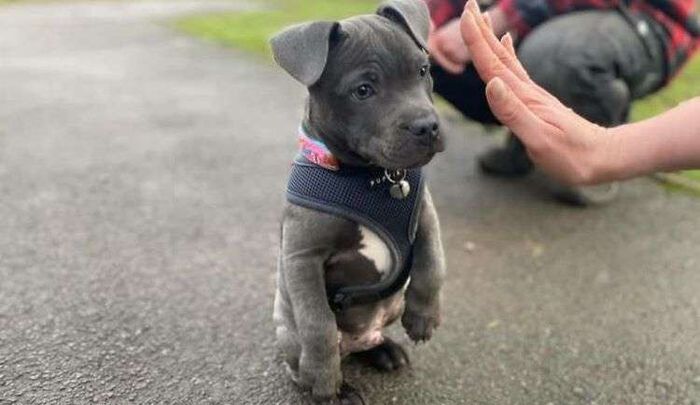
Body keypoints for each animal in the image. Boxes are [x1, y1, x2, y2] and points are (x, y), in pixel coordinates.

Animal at [270, 1, 446, 403]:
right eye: (363, 90)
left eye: (423, 70)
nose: (427, 126)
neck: (372, 180)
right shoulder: (302, 258)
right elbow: (317, 322)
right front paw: (324, 379)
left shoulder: (426, 217)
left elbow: (433, 265)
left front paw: (424, 318)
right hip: (287, 332)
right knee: (306, 355)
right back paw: (336, 388)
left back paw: (385, 350)